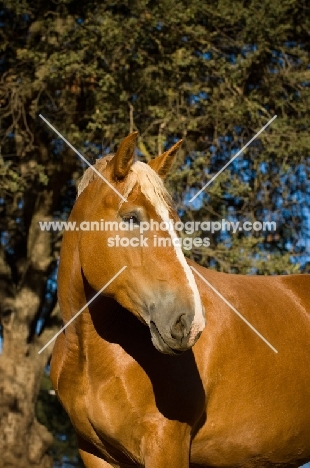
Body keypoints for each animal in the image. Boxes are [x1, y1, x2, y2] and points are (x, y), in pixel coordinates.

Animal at [50, 132, 310, 468]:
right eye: (131, 217)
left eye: (176, 224)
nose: (190, 323)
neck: (90, 355)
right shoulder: (94, 453)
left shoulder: (166, 444)